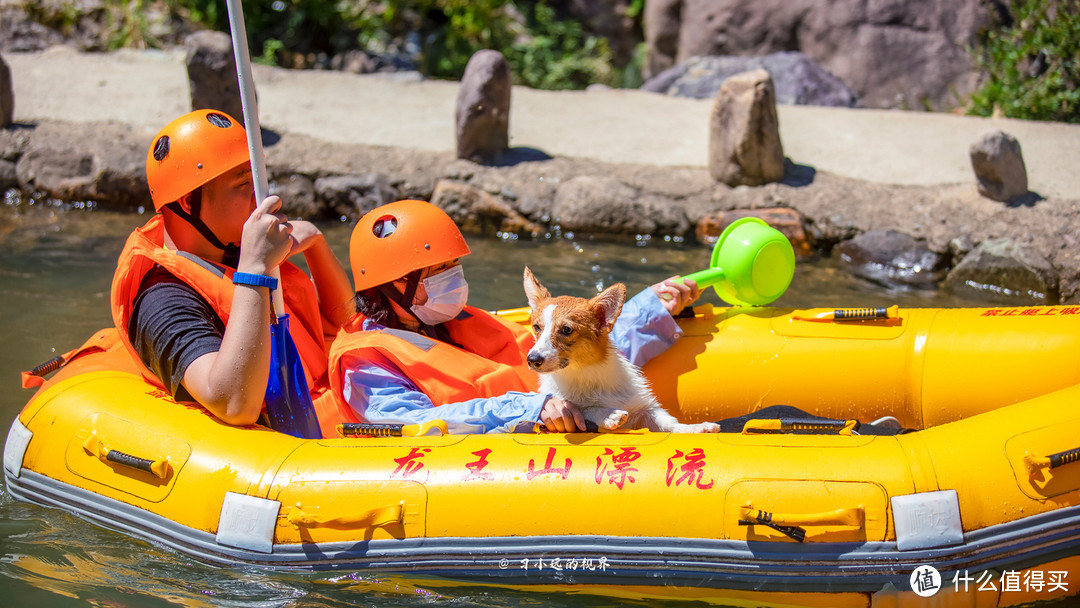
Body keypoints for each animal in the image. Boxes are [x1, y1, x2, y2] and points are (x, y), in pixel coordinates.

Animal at [520, 268, 717, 436]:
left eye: (567, 330)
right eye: (536, 327)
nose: (532, 360)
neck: (585, 372)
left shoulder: (644, 408)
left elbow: (669, 423)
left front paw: (696, 428)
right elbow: (584, 409)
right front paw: (608, 415)